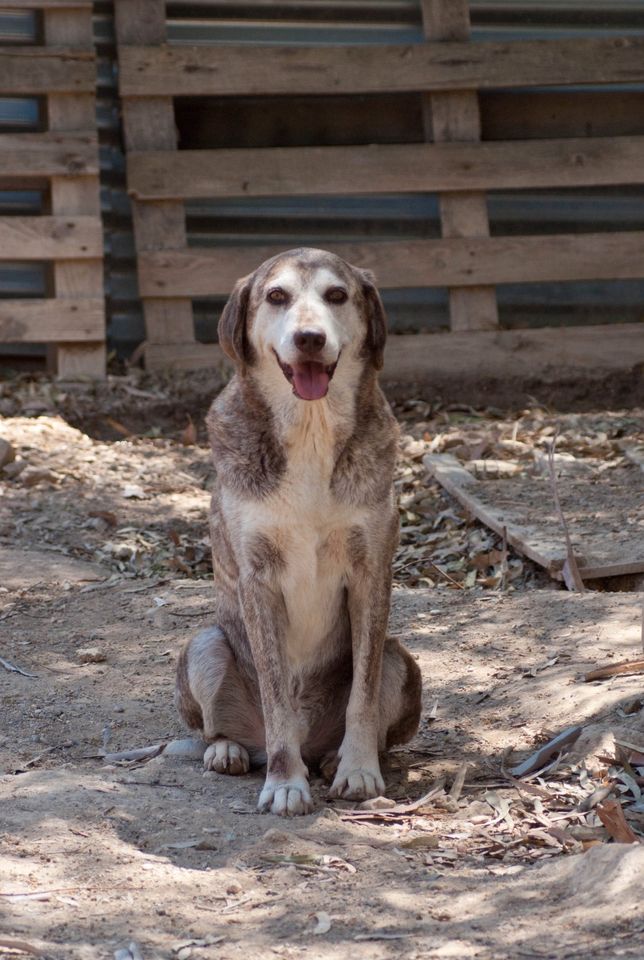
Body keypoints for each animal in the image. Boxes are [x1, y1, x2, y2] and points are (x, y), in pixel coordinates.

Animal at [175, 249, 422, 816]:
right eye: (276, 296)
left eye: (337, 295)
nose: (309, 338)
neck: (310, 430)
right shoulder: (257, 579)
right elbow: (276, 698)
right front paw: (286, 784)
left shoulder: (371, 571)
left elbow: (362, 695)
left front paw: (357, 770)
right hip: (205, 645)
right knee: (223, 728)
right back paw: (229, 751)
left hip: (402, 659)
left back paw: (332, 758)